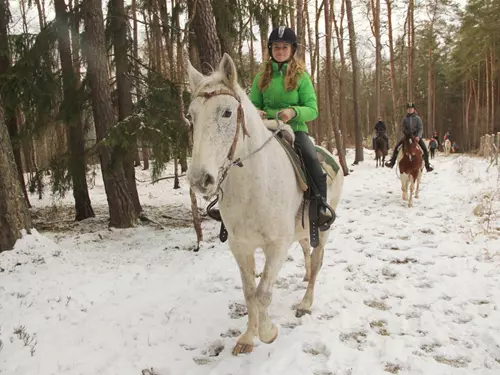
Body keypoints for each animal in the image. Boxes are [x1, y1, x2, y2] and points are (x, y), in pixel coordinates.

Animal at [186, 53, 342, 356]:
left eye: (227, 112)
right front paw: (248, 337)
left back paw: (305, 303)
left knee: (317, 259)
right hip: (302, 229)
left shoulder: (277, 245)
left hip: (323, 229)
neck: (254, 185)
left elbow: (263, 293)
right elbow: (249, 293)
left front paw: (268, 333)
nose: (200, 179)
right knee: (306, 250)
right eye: (191, 115)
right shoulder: (240, 246)